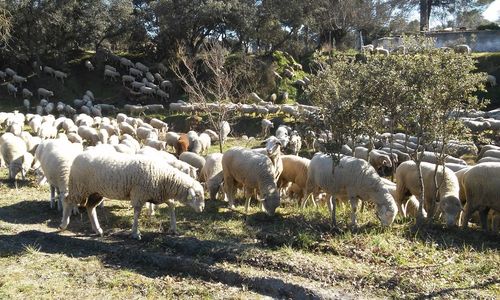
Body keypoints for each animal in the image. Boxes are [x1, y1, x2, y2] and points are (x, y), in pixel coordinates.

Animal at [60, 150, 205, 239]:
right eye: (197, 195)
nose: (202, 208)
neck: (164, 177)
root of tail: (79, 155)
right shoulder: (139, 194)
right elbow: (137, 212)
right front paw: (135, 233)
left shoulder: (157, 195)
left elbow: (171, 205)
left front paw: (173, 228)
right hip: (79, 187)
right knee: (67, 200)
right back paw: (63, 224)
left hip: (96, 191)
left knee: (90, 208)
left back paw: (98, 229)